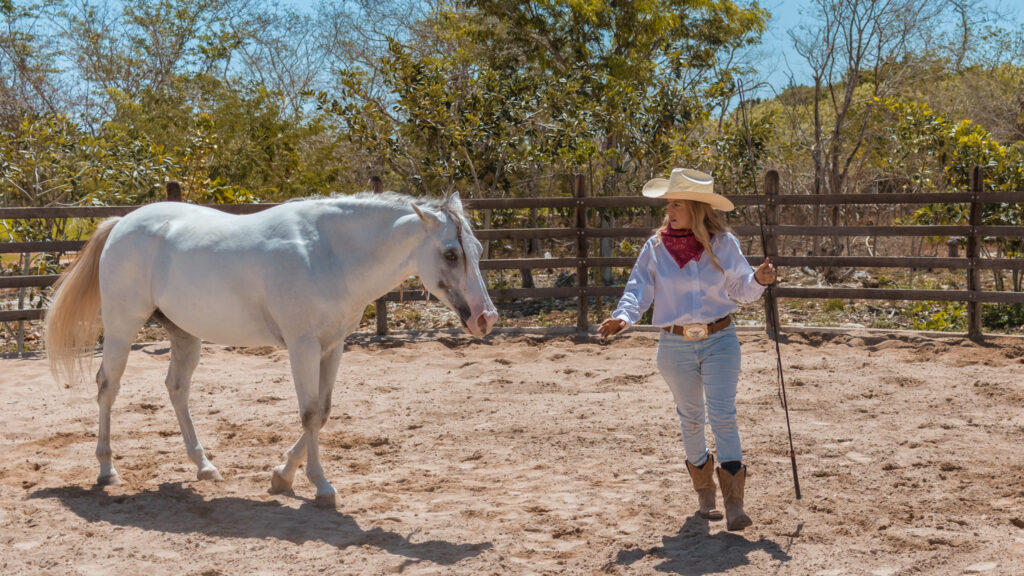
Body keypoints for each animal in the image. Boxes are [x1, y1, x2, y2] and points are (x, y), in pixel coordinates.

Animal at [44, 191, 498, 507]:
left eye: (476, 251)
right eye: (450, 253)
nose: (486, 318)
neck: (329, 253)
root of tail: (122, 223)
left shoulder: (333, 346)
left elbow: (323, 412)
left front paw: (282, 476)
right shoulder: (302, 346)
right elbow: (309, 413)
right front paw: (321, 486)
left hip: (186, 335)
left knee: (176, 389)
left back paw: (204, 466)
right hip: (122, 327)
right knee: (108, 387)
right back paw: (107, 470)